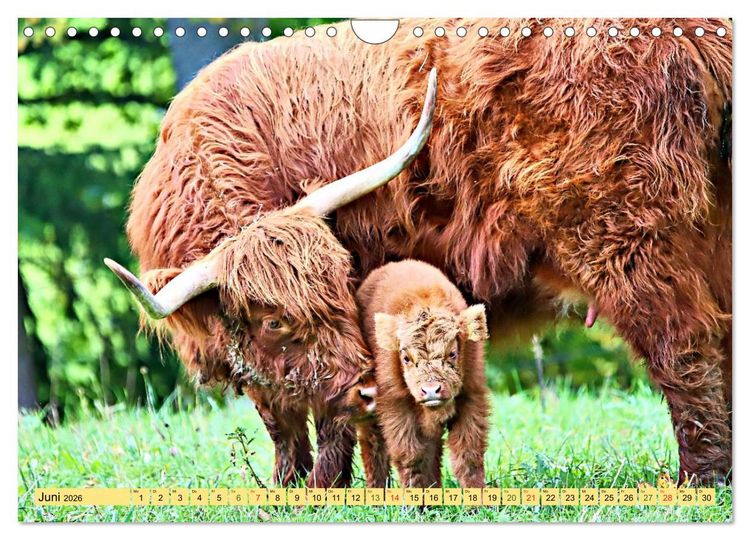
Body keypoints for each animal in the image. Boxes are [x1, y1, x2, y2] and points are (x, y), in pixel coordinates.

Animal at [355, 260, 489, 488]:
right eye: (406, 358)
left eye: (452, 353)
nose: (431, 390)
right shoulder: (396, 406)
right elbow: (411, 457)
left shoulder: (471, 397)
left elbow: (468, 456)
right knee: (373, 446)